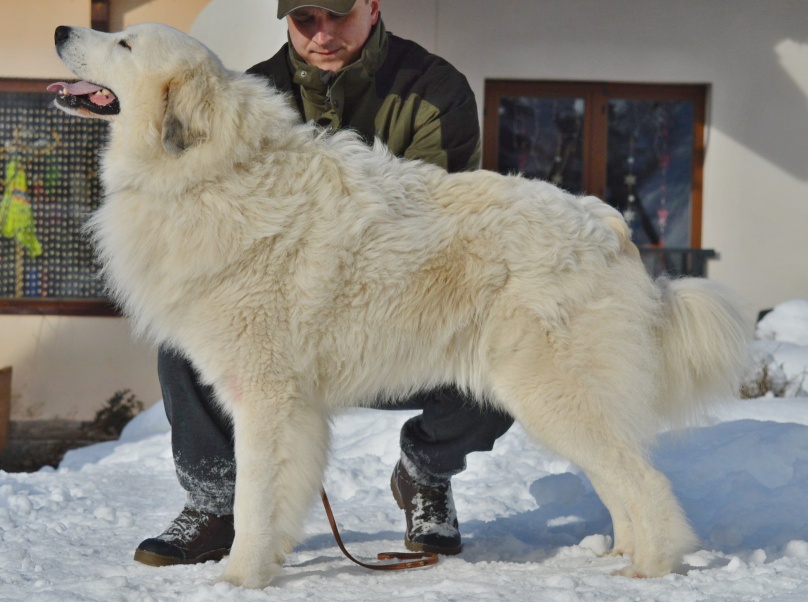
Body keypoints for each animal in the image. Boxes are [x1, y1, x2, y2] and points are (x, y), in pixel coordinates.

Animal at [52, 23, 752, 584]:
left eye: (124, 44)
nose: (60, 28)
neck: (211, 170)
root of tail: (610, 226)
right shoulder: (289, 404)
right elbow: (279, 491)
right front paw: (266, 558)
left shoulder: (267, 395)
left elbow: (254, 495)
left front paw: (240, 576)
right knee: (619, 478)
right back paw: (618, 554)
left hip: (548, 388)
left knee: (643, 481)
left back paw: (650, 566)